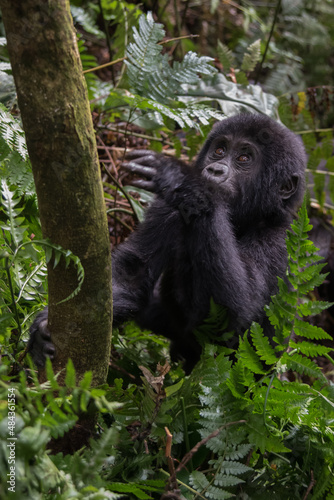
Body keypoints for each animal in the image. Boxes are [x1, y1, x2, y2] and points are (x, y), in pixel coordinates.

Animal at [28, 113, 306, 372]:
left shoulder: (278, 241)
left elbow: (236, 315)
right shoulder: (166, 209)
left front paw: (189, 186)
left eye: (244, 159)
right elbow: (132, 275)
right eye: (220, 150)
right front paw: (43, 327)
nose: (215, 170)